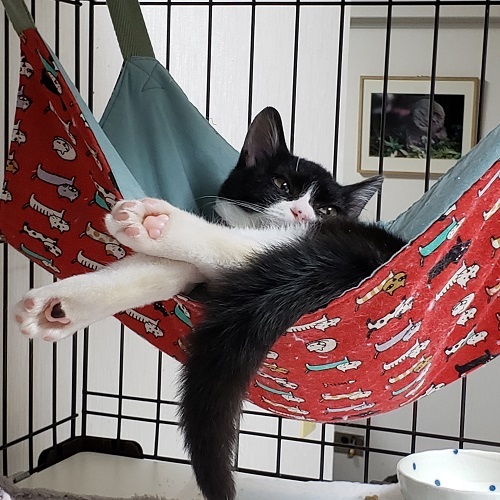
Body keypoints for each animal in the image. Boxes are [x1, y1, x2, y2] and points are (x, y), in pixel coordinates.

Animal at [14, 107, 384, 341]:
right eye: (282, 185)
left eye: (326, 210)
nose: (303, 215)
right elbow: (161, 272)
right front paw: (61, 306)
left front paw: (152, 226)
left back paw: (160, 221)